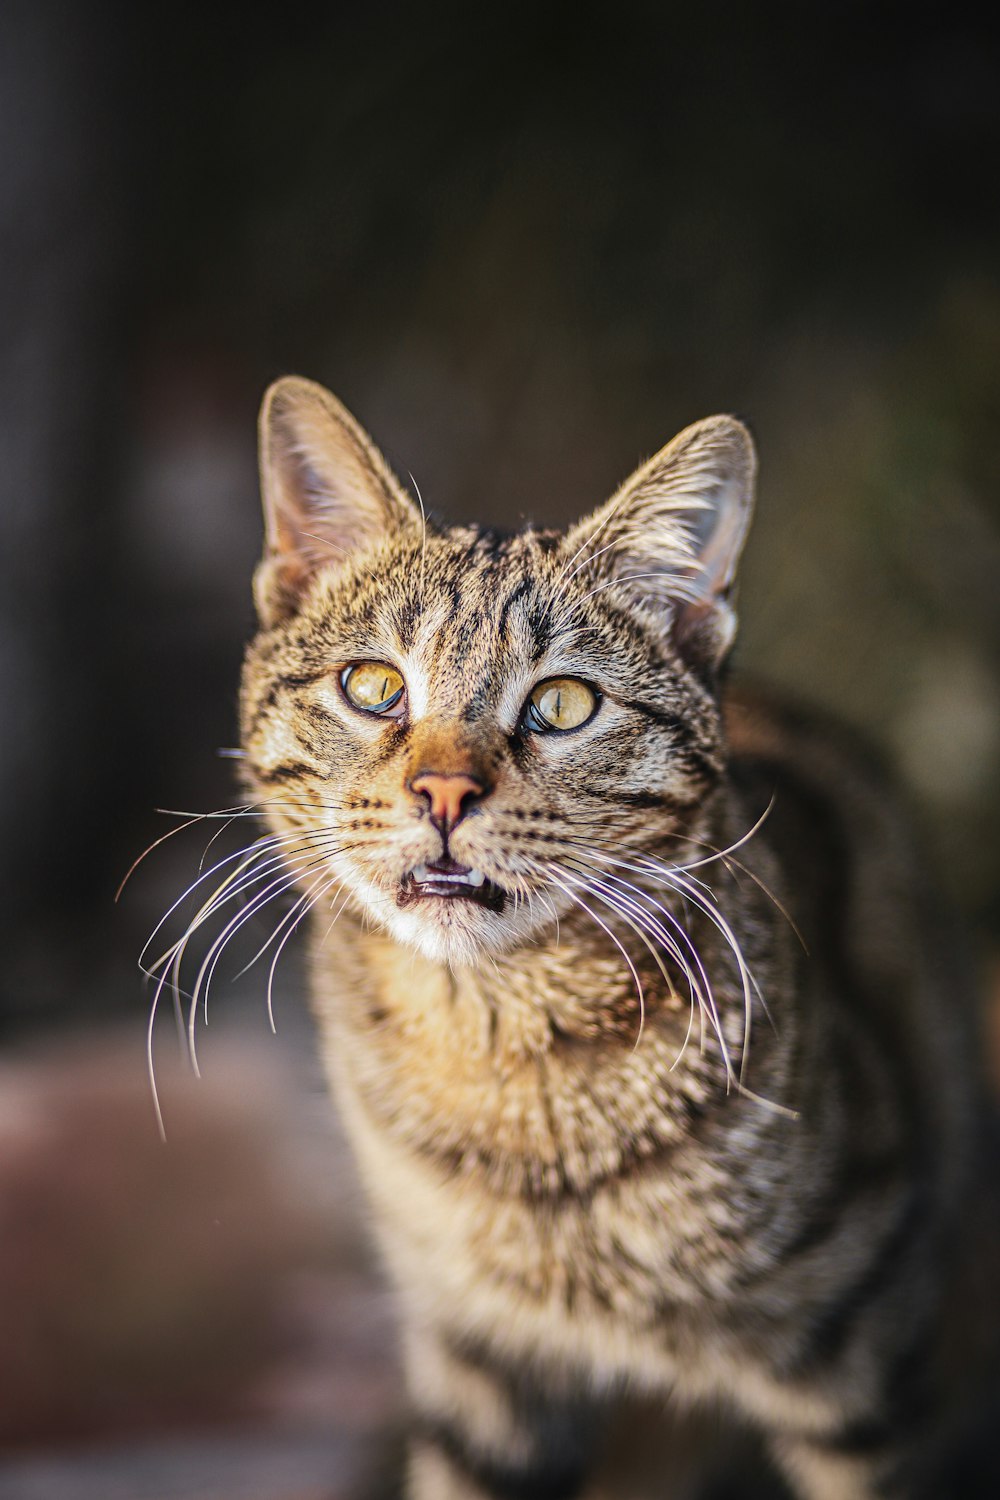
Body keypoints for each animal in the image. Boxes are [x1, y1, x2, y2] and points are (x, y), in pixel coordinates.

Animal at [236, 378, 1000, 1500]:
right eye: (373, 687)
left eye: (562, 704)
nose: (443, 791)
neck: (502, 1052)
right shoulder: (478, 1361)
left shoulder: (865, 1358)